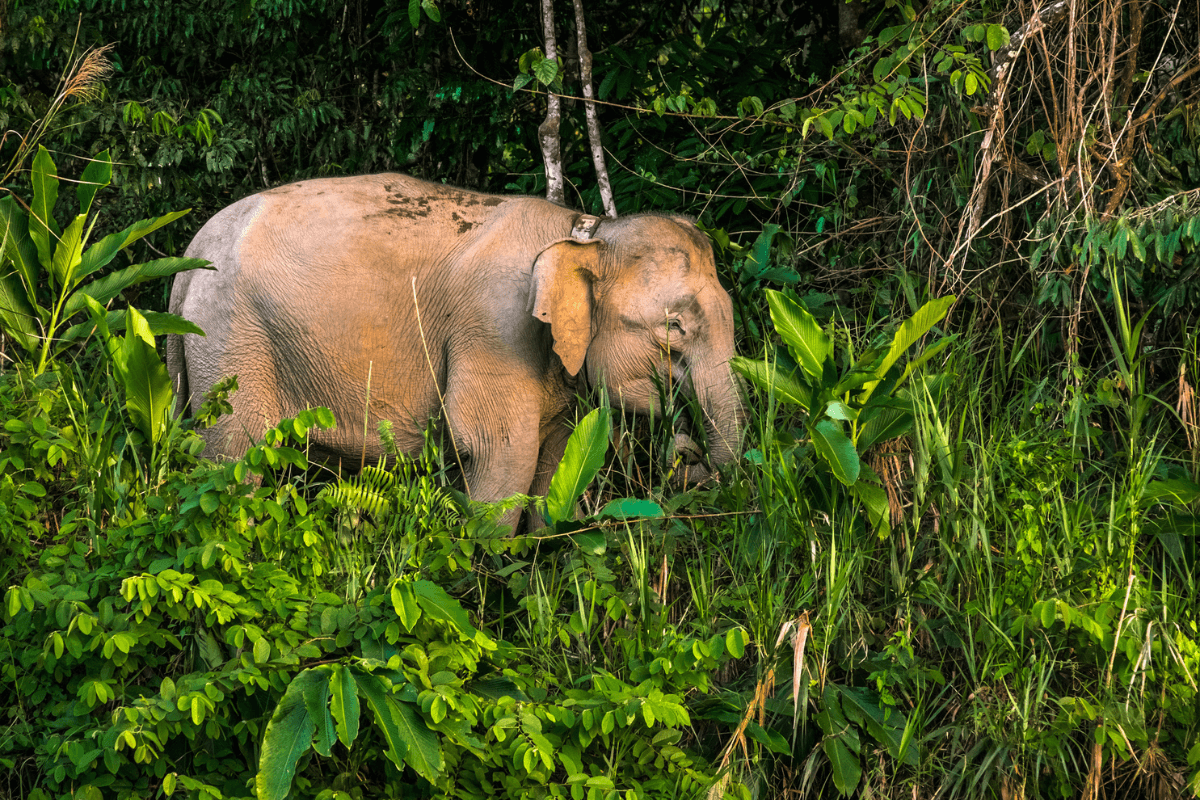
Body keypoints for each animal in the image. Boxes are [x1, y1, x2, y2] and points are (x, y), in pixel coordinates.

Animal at [166, 174, 743, 521]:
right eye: (675, 328)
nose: (687, 449)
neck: (587, 233)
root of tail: (189, 255)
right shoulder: (496, 327)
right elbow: (500, 456)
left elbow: (555, 466)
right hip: (233, 343)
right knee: (234, 461)